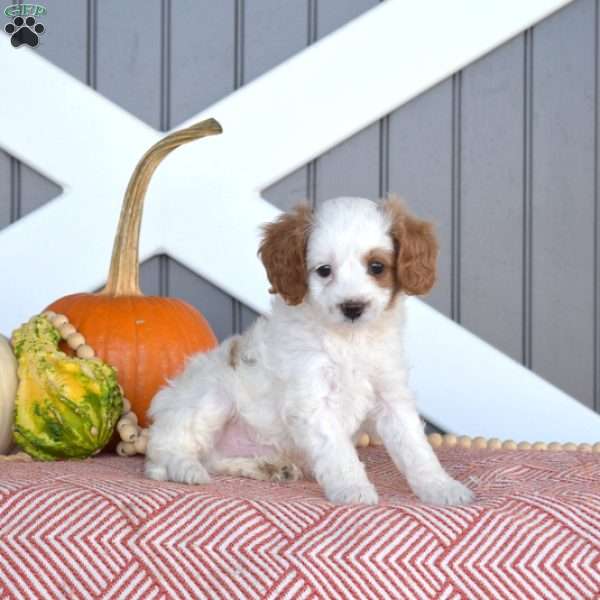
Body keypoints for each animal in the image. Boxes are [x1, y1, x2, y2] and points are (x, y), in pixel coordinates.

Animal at [145, 198, 474, 506]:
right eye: (324, 271)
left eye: (377, 267)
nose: (352, 307)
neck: (349, 339)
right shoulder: (313, 400)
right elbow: (338, 452)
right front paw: (353, 488)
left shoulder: (391, 395)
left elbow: (416, 448)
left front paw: (441, 487)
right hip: (211, 398)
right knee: (163, 455)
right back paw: (186, 469)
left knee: (213, 459)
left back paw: (267, 467)